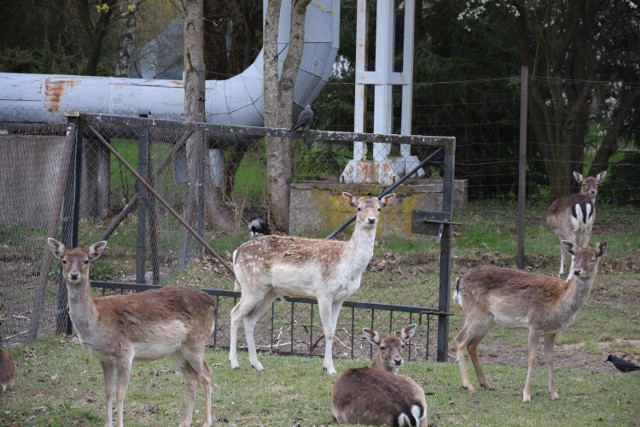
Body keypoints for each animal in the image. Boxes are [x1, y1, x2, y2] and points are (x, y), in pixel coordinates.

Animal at [47, 237, 216, 427]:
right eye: (64, 260)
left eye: (86, 260)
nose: (74, 275)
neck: (97, 322)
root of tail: (212, 302)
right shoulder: (104, 358)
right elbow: (108, 391)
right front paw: (107, 424)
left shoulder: (125, 353)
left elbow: (120, 393)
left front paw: (119, 423)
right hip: (176, 350)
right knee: (192, 378)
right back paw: (184, 422)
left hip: (196, 343)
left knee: (207, 375)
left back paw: (207, 422)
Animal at [225, 192, 396, 376]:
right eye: (359, 208)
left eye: (379, 208)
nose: (371, 219)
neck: (348, 265)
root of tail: (236, 252)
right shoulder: (324, 292)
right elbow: (329, 331)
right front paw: (331, 369)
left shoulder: (340, 298)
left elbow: (334, 329)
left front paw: (327, 366)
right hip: (251, 286)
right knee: (235, 313)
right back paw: (234, 363)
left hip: (269, 291)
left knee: (249, 320)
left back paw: (256, 364)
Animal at [452, 242, 608, 402]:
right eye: (574, 257)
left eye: (593, 259)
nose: (577, 271)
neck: (559, 301)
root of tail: (459, 280)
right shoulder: (535, 323)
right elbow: (531, 358)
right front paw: (526, 395)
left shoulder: (551, 330)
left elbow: (550, 358)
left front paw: (554, 394)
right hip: (475, 314)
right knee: (458, 341)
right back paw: (468, 386)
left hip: (488, 320)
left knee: (472, 344)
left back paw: (486, 384)